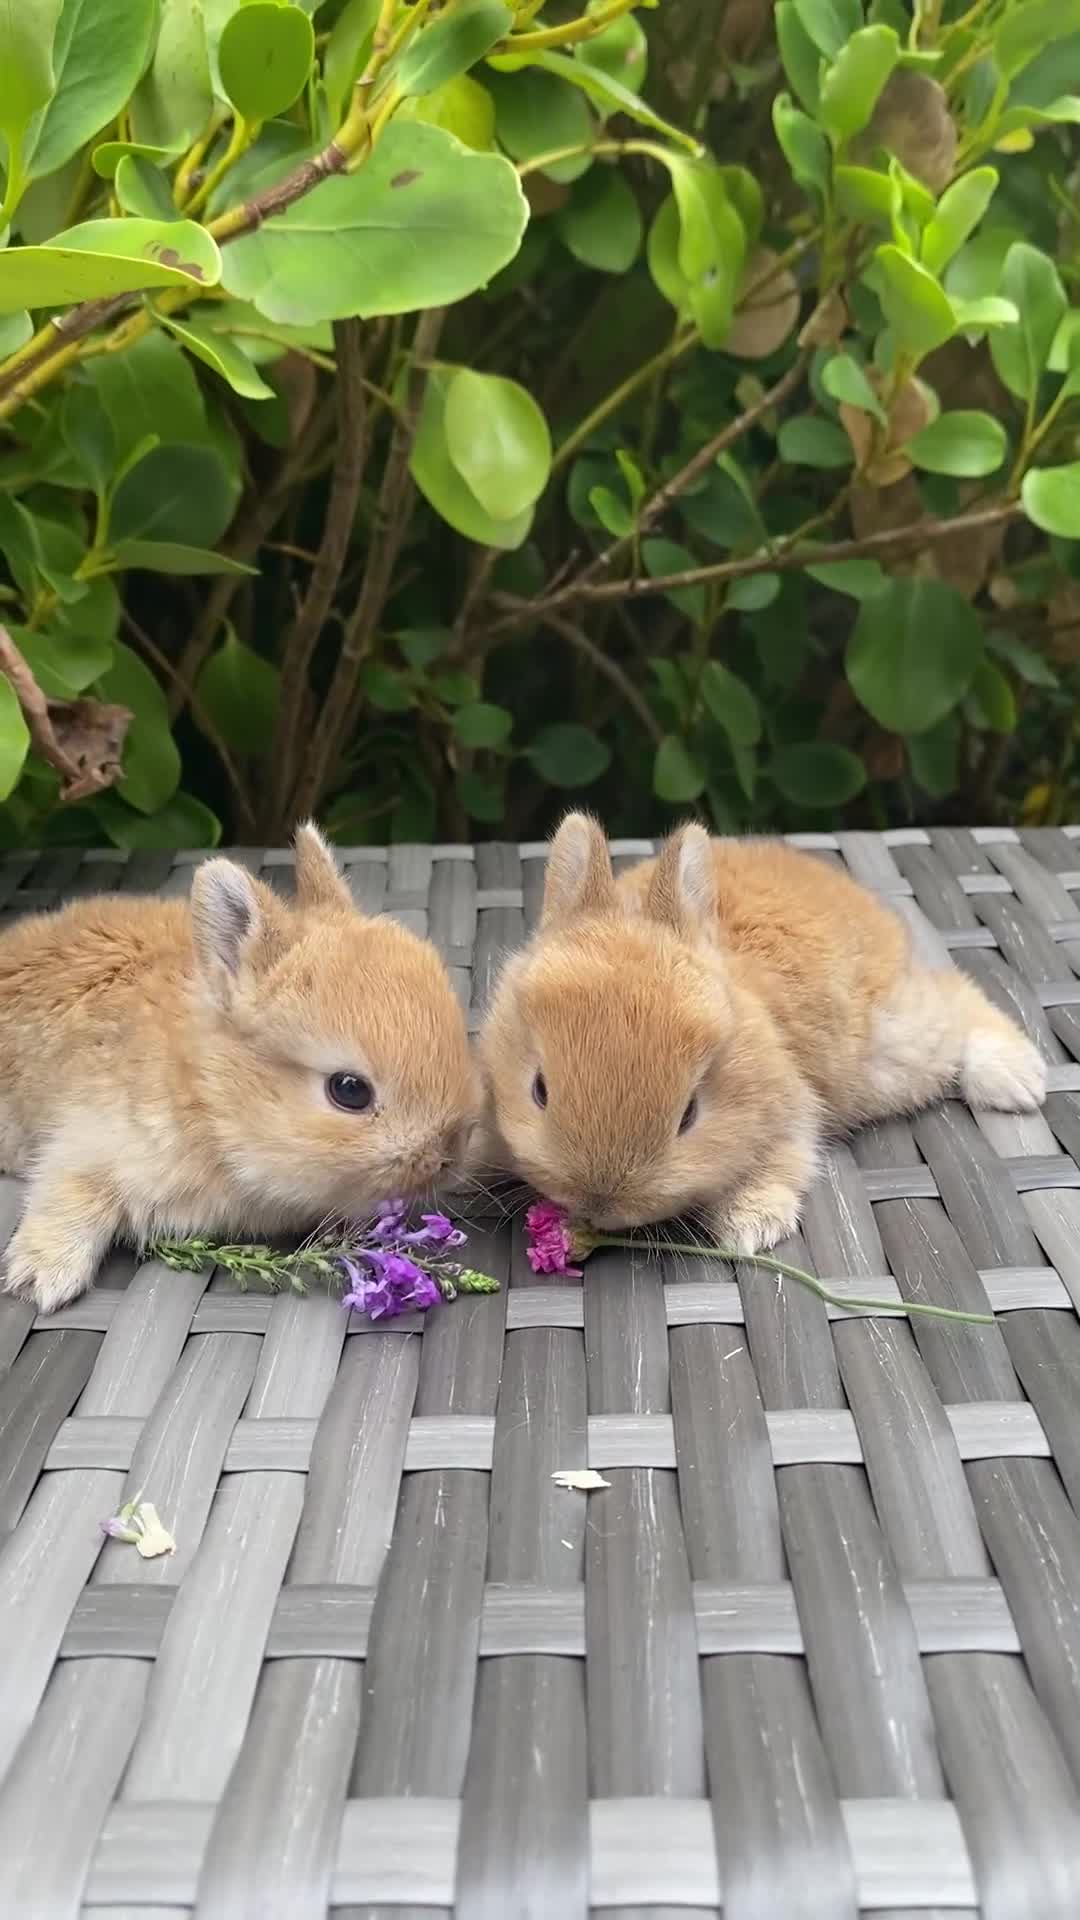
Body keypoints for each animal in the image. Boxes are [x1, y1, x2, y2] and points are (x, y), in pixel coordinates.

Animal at [0, 823, 478, 1314]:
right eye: (349, 1090)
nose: (447, 1155)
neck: (208, 1096)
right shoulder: (90, 1135)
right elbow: (70, 1194)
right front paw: (41, 1279)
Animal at [477, 813, 1046, 1257]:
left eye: (689, 1116)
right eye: (539, 1091)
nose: (600, 1204)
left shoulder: (791, 1109)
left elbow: (782, 1161)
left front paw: (751, 1227)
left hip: (893, 1052)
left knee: (959, 996)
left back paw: (1017, 1081)